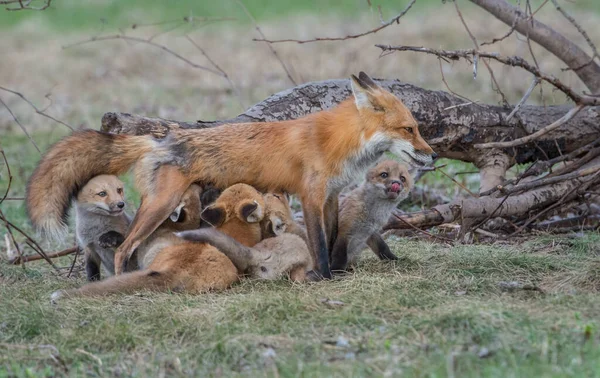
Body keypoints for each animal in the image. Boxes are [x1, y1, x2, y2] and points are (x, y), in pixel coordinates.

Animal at [25, 71, 436, 278]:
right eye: (409, 129)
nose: (431, 156)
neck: (337, 143)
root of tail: (160, 138)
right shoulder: (311, 195)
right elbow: (319, 242)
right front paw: (324, 277)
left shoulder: (332, 196)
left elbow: (334, 238)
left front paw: (338, 271)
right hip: (161, 205)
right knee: (126, 246)